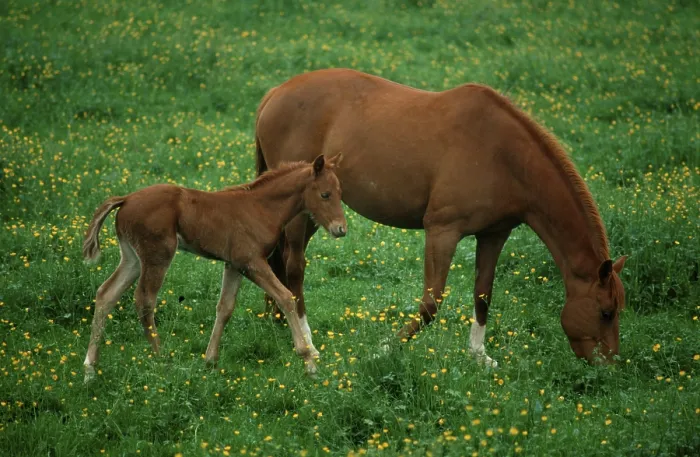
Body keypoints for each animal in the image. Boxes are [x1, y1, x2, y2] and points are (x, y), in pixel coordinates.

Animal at [82, 154, 346, 381]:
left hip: (132, 258)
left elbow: (225, 308)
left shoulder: (234, 265)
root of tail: (125, 199)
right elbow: (285, 297)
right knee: (144, 300)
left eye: (340, 193)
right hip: (157, 255)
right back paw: (161, 360)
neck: (260, 208)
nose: (341, 229)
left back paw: (90, 369)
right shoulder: (252, 262)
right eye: (325, 194)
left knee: (106, 294)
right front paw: (309, 361)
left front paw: (210, 361)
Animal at [255, 68, 628, 367]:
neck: (502, 155)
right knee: (294, 266)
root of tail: (275, 93)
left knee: (281, 261)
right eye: (606, 312)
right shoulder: (442, 232)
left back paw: (280, 322)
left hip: (312, 212)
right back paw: (306, 337)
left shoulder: (494, 234)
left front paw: (479, 356)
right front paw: (383, 349)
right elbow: (431, 304)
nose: (608, 364)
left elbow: (483, 295)